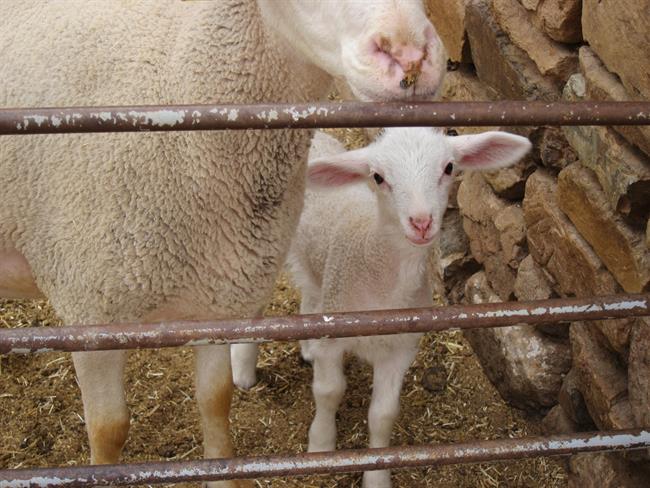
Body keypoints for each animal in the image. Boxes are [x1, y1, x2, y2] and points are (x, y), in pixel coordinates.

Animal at [287, 128, 532, 488]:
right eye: (377, 177)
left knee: (312, 291)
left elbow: (383, 415)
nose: (421, 222)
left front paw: (376, 476)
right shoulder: (334, 334)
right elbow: (329, 392)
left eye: (448, 167)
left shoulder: (400, 349)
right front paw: (321, 446)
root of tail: (317, 135)